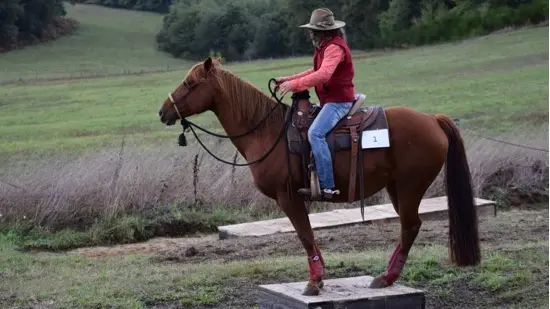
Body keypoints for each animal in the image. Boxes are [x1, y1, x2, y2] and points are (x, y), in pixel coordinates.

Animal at [157, 56, 480, 294]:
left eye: (189, 82)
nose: (163, 111)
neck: (268, 131)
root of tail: (433, 120)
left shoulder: (288, 197)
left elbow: (305, 234)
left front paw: (314, 281)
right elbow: (308, 234)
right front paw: (320, 276)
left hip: (410, 187)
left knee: (410, 226)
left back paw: (386, 277)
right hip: (397, 188)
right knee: (409, 226)